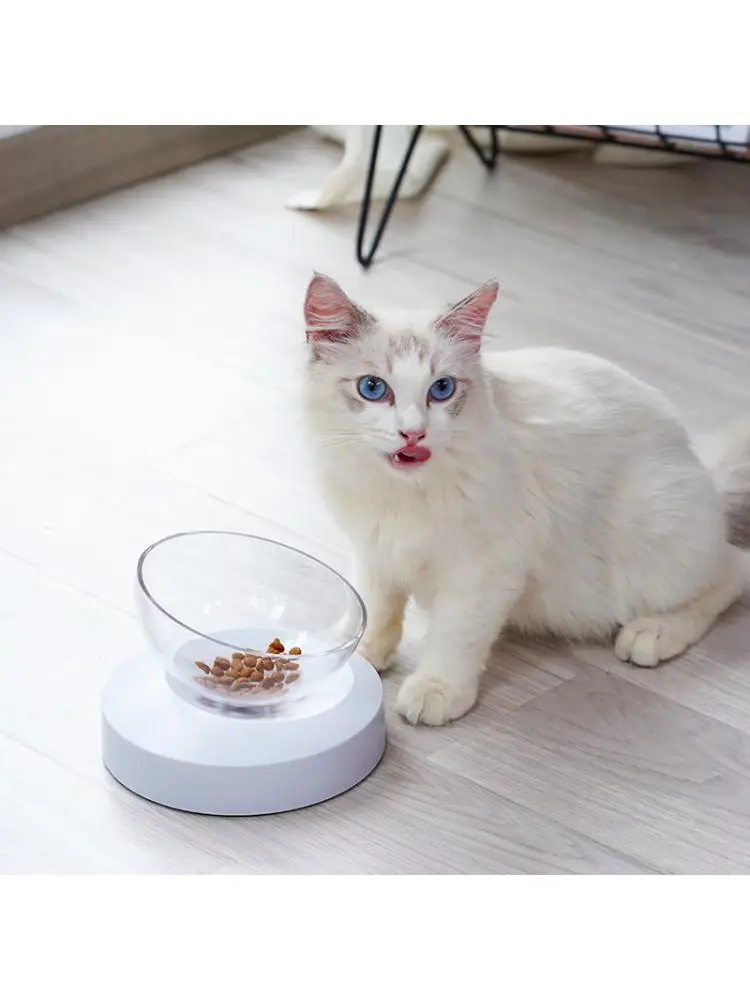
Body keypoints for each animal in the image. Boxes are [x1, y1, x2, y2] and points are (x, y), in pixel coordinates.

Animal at [303, 273, 750, 726]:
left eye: (442, 389)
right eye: (373, 388)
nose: (413, 434)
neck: (398, 493)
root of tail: (696, 460)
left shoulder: (486, 569)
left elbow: (455, 635)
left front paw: (437, 689)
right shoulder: (373, 548)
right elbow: (374, 606)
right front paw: (362, 652)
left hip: (650, 550)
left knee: (733, 569)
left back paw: (653, 634)